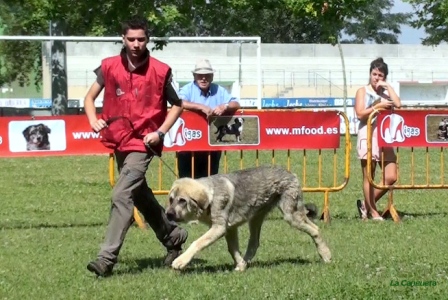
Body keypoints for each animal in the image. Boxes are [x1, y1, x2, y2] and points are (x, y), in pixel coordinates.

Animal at [166, 165, 330, 270]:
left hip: (292, 216)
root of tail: (292, 174)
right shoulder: (230, 229)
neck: (210, 196)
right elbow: (232, 249)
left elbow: (197, 243)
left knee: (316, 229)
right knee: (254, 242)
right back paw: (246, 261)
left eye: (182, 201)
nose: (168, 214)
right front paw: (240, 266)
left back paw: (326, 255)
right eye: (171, 199)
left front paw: (180, 261)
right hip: (255, 219)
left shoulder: (219, 228)